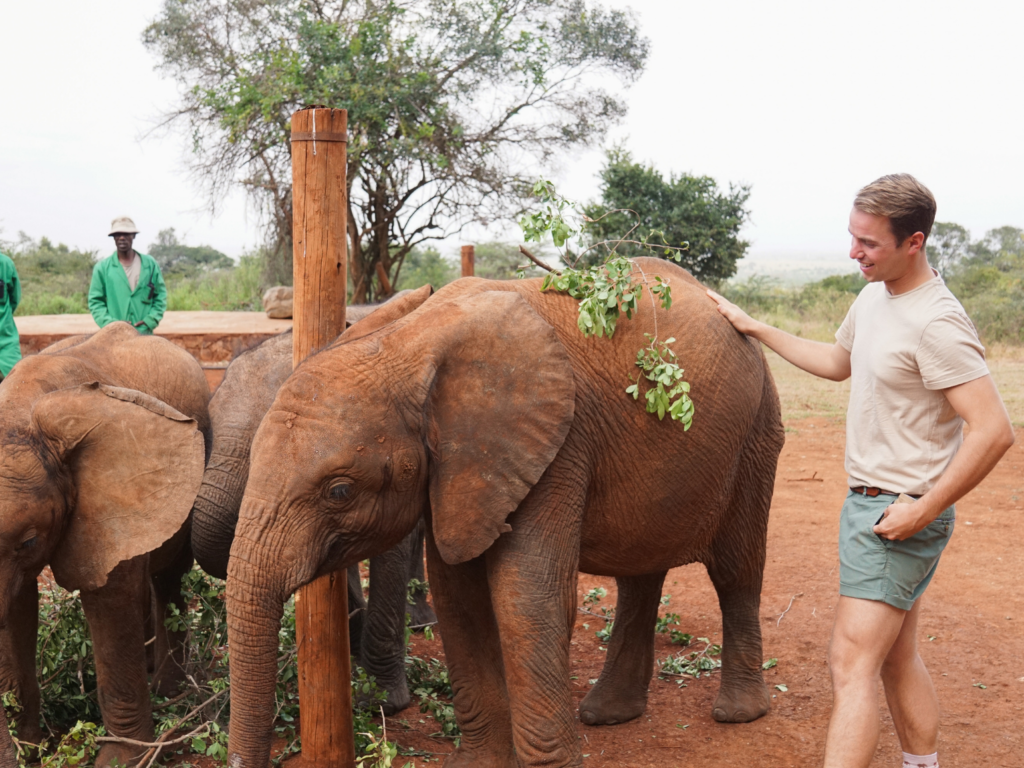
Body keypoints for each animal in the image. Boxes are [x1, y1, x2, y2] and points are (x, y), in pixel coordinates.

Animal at [0, 325, 210, 768]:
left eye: (29, 541)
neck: (20, 409)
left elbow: (110, 602)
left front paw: (118, 759)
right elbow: (18, 611)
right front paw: (31, 751)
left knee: (167, 578)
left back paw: (169, 691)